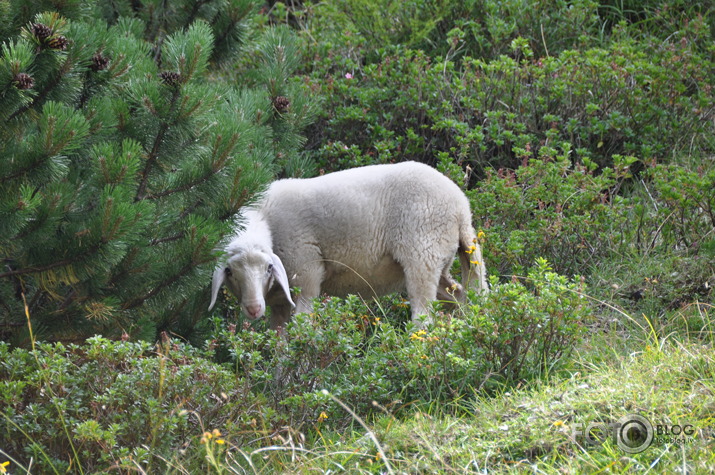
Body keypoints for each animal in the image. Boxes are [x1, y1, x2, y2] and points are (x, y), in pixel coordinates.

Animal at [207, 160, 486, 330]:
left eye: (268, 268)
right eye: (229, 271)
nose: (254, 309)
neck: (265, 217)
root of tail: (462, 207)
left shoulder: (307, 273)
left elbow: (301, 328)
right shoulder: (279, 304)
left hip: (422, 253)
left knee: (424, 318)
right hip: (439, 260)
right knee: (461, 297)